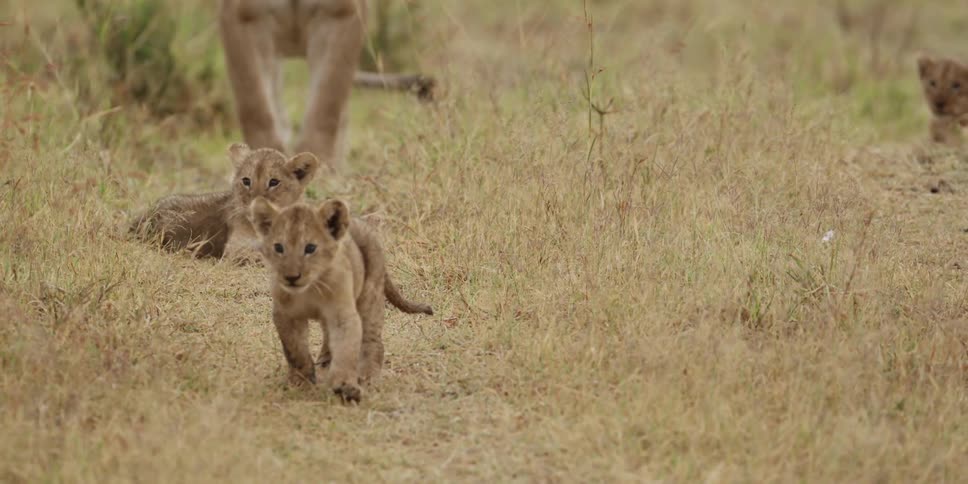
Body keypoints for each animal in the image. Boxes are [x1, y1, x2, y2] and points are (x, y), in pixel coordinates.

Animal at [248, 196, 433, 402]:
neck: (310, 289)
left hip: (370, 295)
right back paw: (324, 363)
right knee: (328, 339)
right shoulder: (286, 316)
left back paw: (367, 377)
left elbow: (346, 350)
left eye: (310, 248)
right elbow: (295, 350)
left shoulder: (342, 315)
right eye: (279, 247)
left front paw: (346, 387)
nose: (291, 277)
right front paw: (300, 381)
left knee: (373, 342)